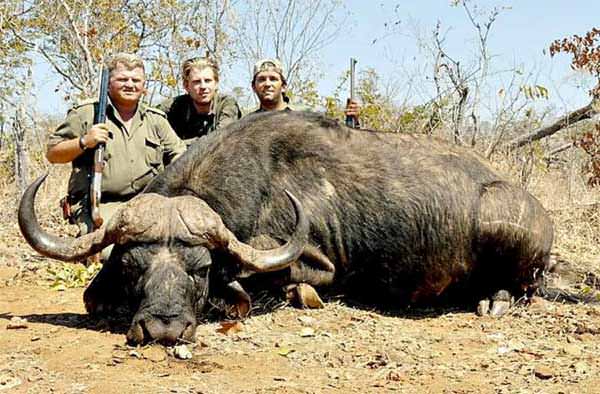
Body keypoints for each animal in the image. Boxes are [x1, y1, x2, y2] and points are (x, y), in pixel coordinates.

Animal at [18, 111, 552, 344]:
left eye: (199, 269)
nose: (163, 329)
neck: (261, 176)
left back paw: (493, 301)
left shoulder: (316, 265)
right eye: (132, 267)